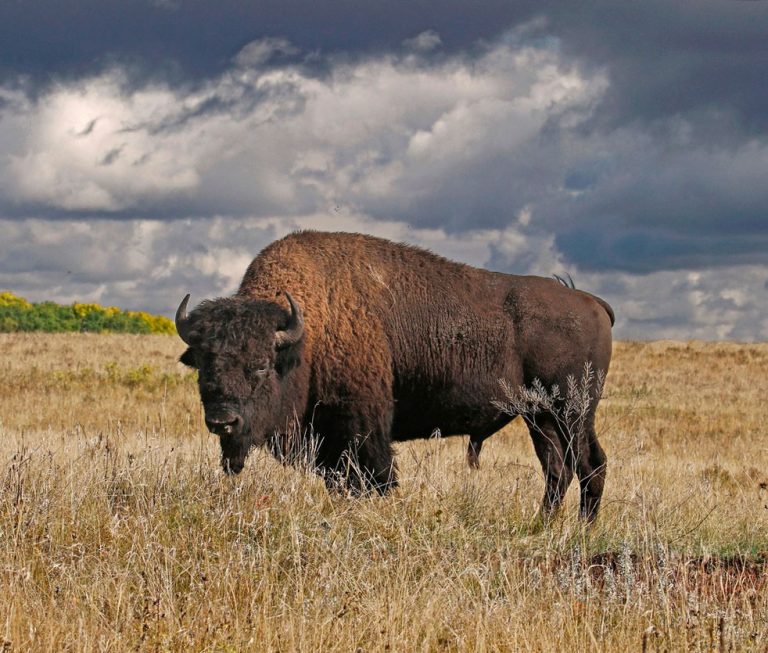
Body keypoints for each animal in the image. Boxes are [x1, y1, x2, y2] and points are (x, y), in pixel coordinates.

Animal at [174, 229, 612, 520]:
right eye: (204, 365)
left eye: (261, 365)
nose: (223, 422)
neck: (308, 332)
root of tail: (590, 301)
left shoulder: (361, 427)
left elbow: (375, 477)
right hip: (540, 417)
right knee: (558, 469)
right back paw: (542, 525)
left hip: (573, 411)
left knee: (590, 463)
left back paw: (580, 530)